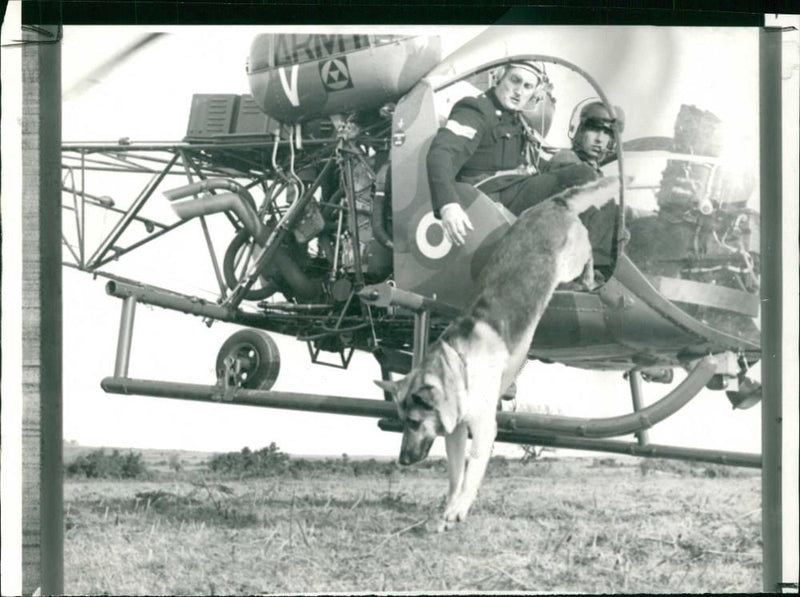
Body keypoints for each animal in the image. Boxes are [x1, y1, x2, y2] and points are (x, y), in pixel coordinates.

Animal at [376, 175, 620, 528]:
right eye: (402, 421)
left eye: (414, 422)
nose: (403, 460)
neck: (460, 363)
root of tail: (553, 202)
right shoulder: (454, 433)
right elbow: (455, 474)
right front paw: (448, 506)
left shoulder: (483, 430)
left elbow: (471, 473)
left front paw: (459, 509)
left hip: (572, 260)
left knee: (588, 255)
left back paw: (591, 278)